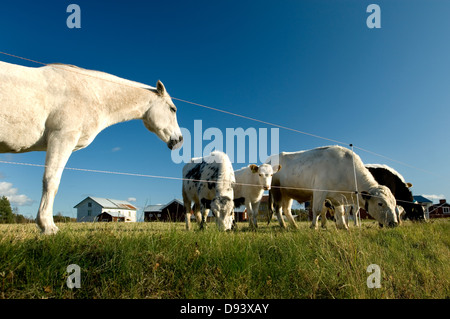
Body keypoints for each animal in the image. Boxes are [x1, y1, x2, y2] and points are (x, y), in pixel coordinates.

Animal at [0, 61, 183, 235]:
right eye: (173, 109)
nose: (180, 140)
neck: (89, 94)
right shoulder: (62, 138)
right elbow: (51, 181)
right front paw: (48, 226)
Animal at [266, 146, 400, 231]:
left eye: (394, 204)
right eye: (380, 203)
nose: (394, 223)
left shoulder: (337, 197)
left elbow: (340, 212)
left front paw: (344, 227)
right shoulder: (319, 191)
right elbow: (317, 210)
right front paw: (314, 226)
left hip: (287, 193)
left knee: (286, 210)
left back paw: (294, 226)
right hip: (276, 191)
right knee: (278, 209)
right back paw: (283, 225)